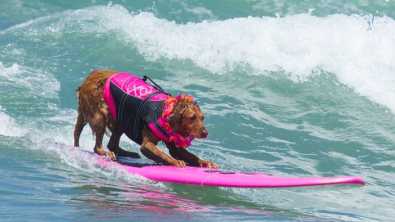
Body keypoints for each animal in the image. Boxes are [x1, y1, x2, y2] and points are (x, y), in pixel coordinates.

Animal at [74, 69, 220, 168]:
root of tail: (88, 78)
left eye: (202, 118)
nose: (205, 133)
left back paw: (128, 153)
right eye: (192, 118)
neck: (164, 113)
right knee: (97, 146)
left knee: (112, 144)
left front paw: (206, 162)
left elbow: (187, 155)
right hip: (99, 115)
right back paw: (105, 152)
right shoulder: (147, 145)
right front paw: (176, 162)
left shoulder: (174, 145)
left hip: (121, 116)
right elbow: (163, 154)